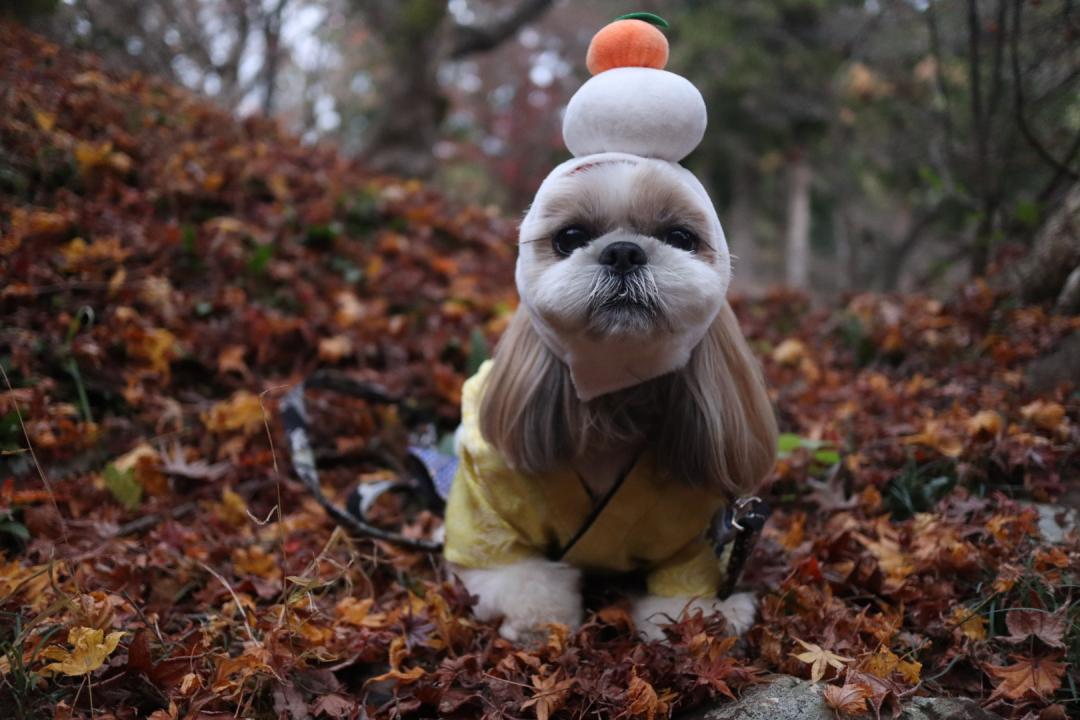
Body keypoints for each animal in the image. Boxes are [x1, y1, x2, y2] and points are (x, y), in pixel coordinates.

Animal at [440, 15, 777, 643]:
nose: (623, 251)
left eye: (680, 237)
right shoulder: (492, 506)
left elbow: (688, 589)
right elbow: (516, 572)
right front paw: (539, 621)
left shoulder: (695, 532)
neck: (613, 401)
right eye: (570, 237)